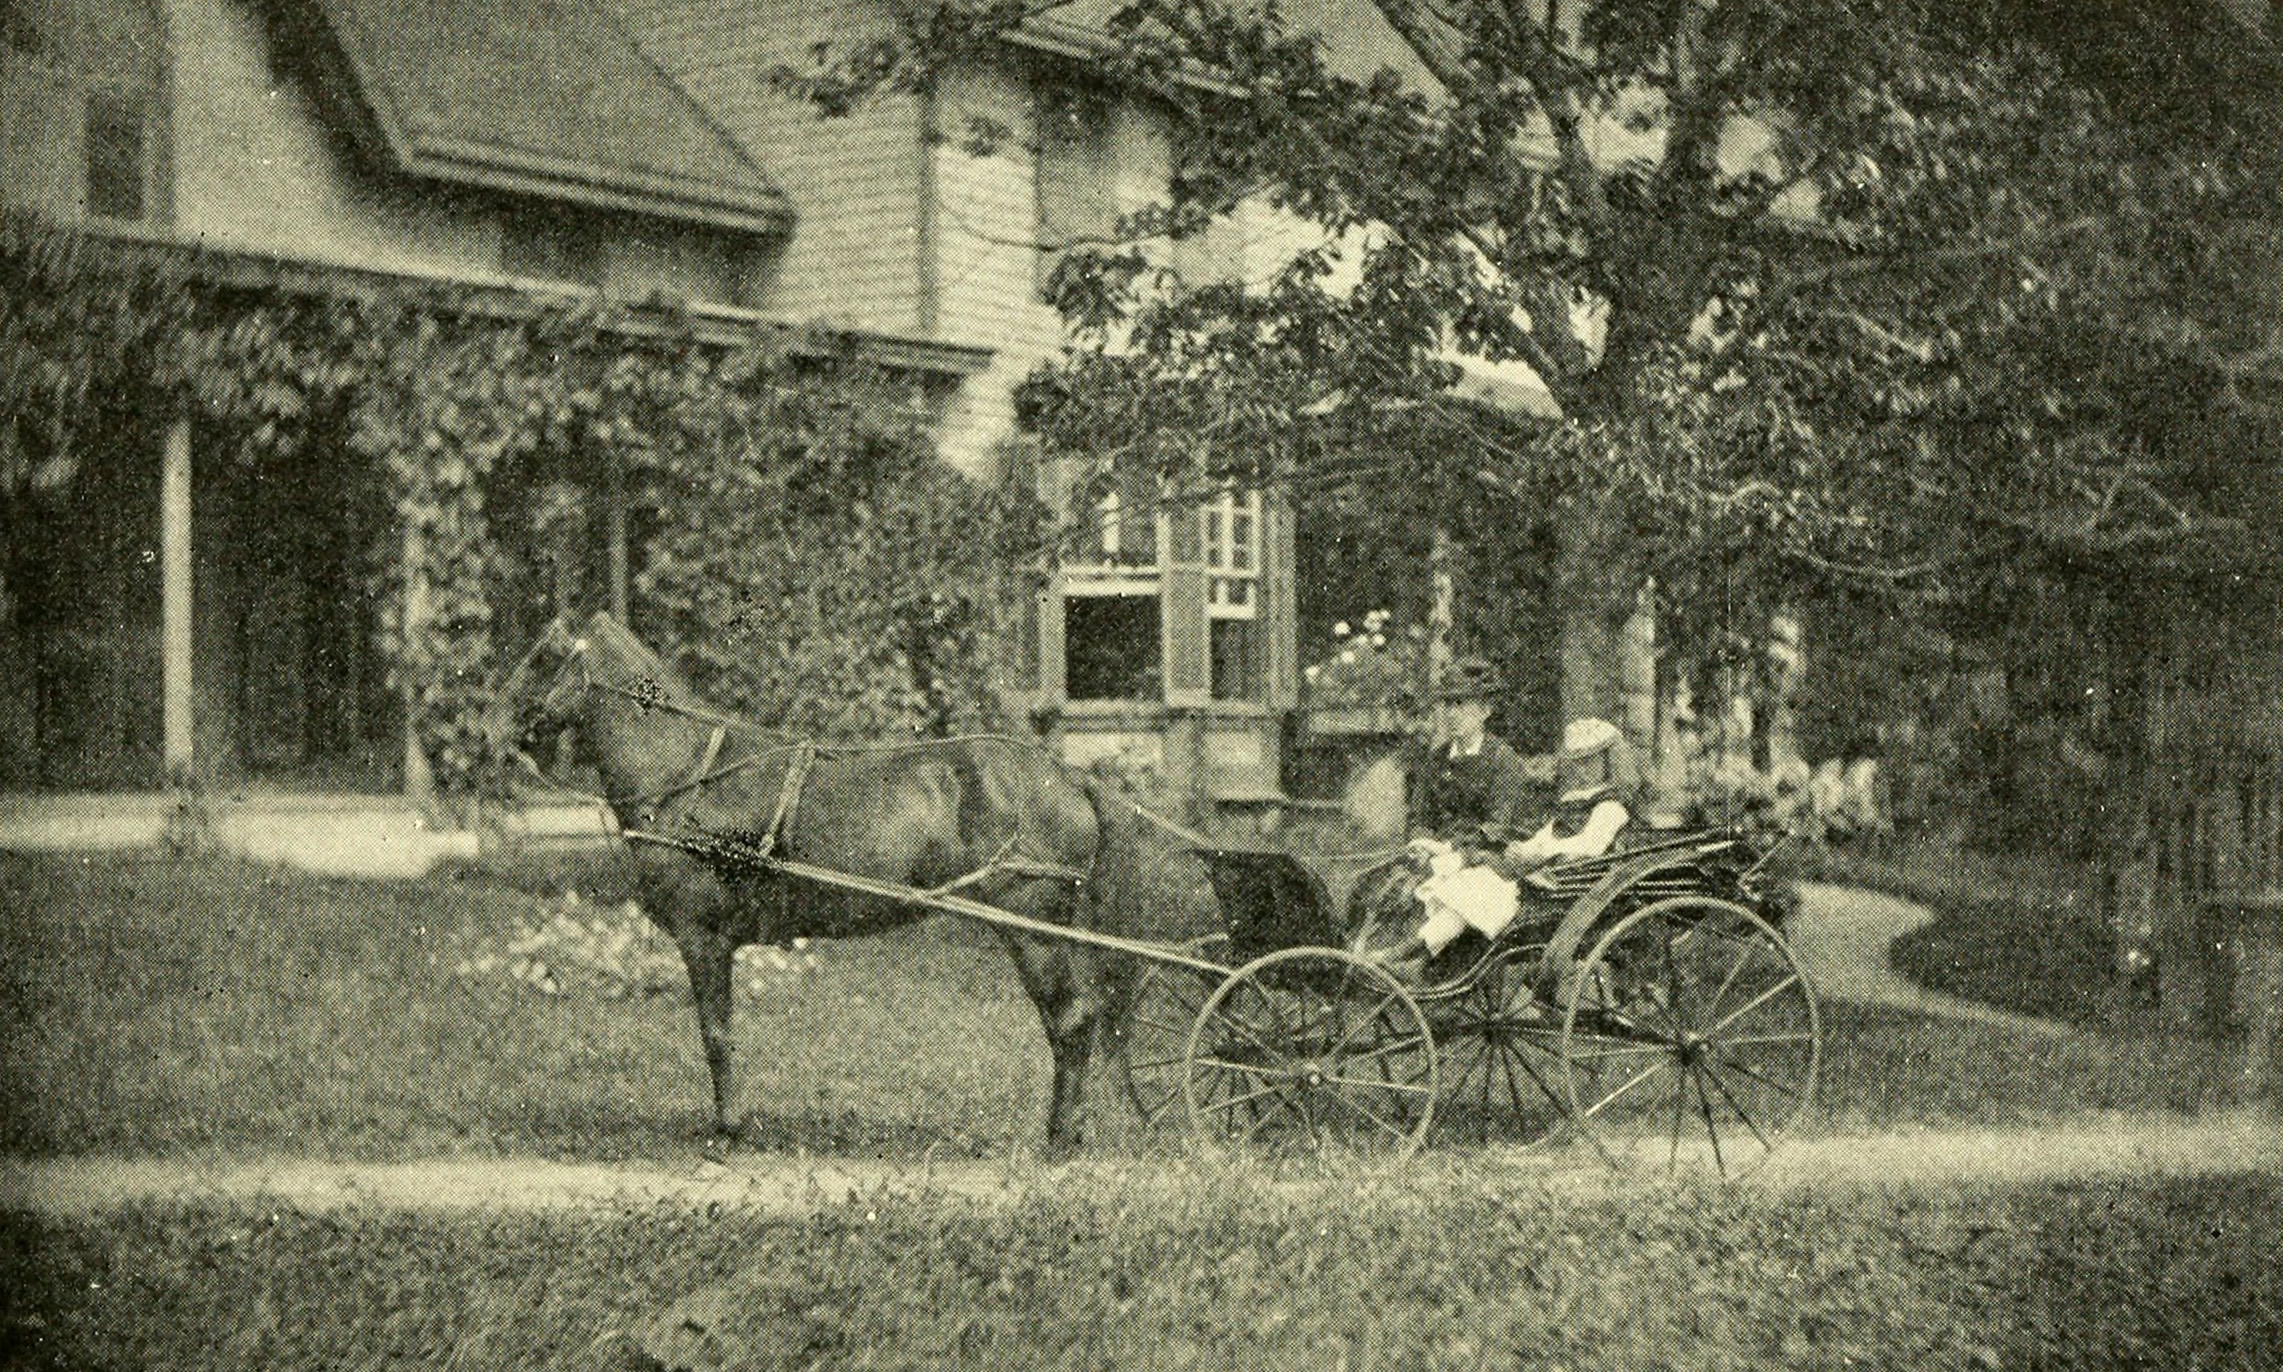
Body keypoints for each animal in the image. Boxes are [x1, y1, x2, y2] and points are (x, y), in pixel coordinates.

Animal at [481, 616, 1196, 1150]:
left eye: (545, 657)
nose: (488, 732)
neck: (688, 773)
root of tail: (1066, 775)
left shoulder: (702, 936)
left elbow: (716, 1033)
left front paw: (728, 1128)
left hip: (1032, 928)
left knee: (1071, 1021)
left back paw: (1060, 1140)